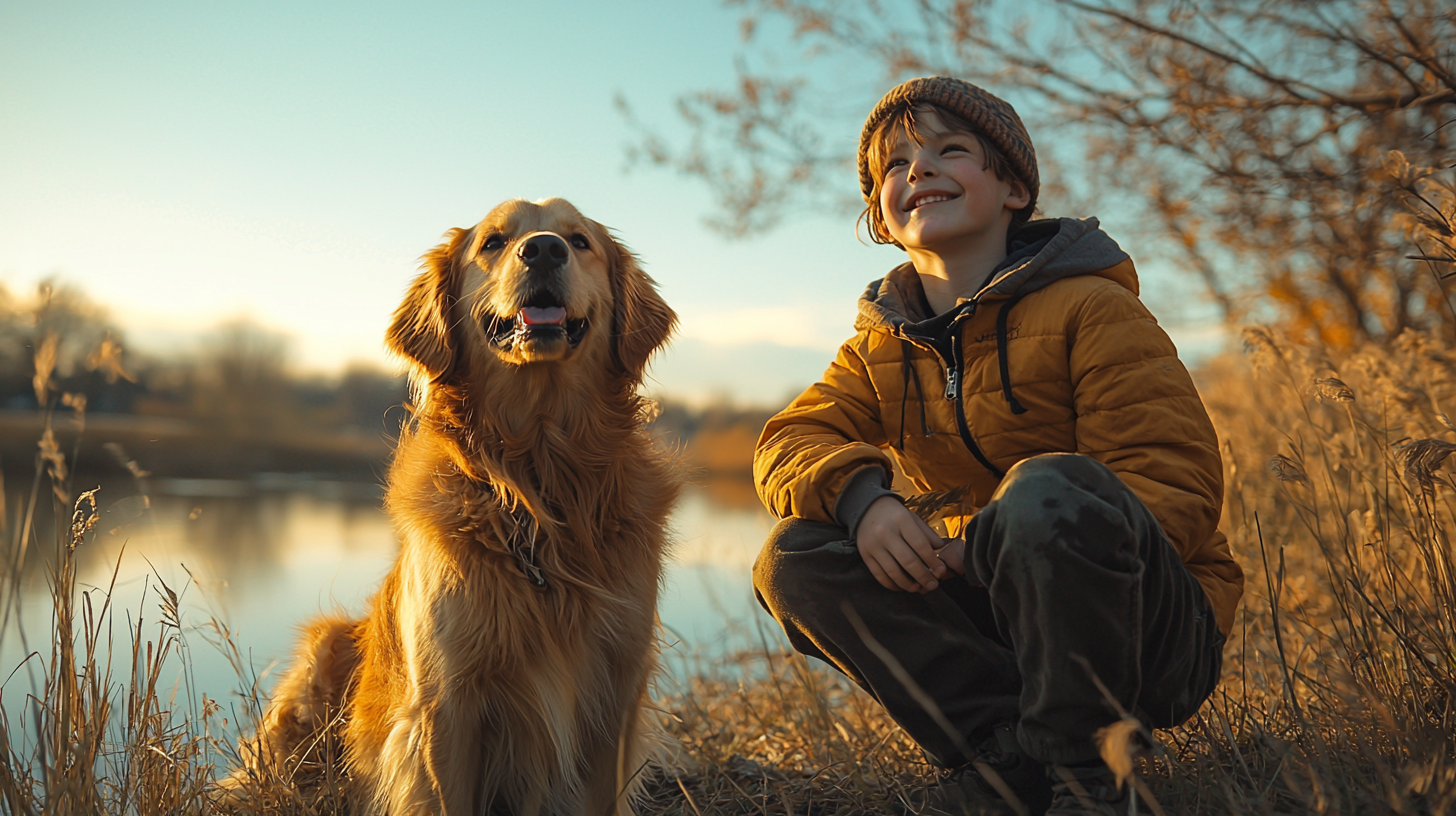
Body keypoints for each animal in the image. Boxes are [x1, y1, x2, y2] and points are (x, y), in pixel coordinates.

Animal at [225, 198, 681, 816]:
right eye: (493, 242)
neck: (539, 479)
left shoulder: (613, 696)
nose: (544, 249)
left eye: (580, 241)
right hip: (321, 656)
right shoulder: (447, 702)